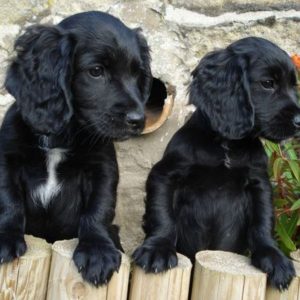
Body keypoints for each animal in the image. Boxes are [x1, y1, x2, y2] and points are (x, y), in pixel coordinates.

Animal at [0, 9, 152, 286]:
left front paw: (97, 251)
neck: (62, 137)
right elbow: (8, 200)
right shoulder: (7, 160)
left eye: (137, 74)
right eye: (96, 71)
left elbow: (99, 208)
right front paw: (5, 236)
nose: (138, 120)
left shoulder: (102, 170)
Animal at [134, 36, 300, 290]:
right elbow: (162, 216)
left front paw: (273, 257)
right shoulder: (165, 174)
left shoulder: (259, 183)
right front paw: (157, 249)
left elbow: (263, 221)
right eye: (268, 83)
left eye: (293, 86)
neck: (226, 145)